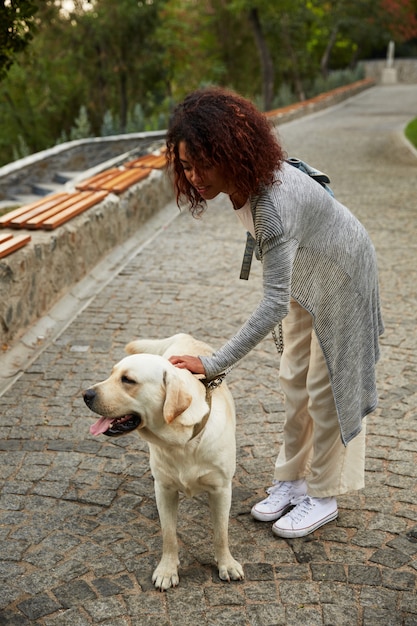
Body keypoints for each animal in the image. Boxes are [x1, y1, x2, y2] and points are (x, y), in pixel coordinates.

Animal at [81, 332, 242, 588]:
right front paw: (167, 570)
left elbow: (221, 533)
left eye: (128, 380)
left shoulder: (222, 489)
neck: (181, 442)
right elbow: (169, 535)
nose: (86, 394)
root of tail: (187, 336)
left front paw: (226, 563)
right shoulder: (164, 489)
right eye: (111, 373)